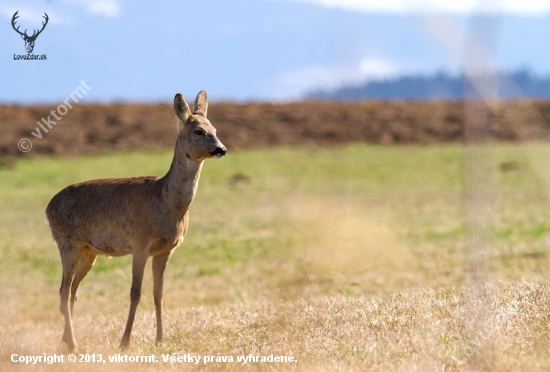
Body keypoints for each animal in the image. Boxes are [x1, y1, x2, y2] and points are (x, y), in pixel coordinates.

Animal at [46, 91, 227, 352]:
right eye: (198, 131)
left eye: (214, 128)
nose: (221, 149)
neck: (165, 203)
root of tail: (48, 207)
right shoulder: (140, 244)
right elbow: (135, 292)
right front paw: (125, 342)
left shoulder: (165, 249)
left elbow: (158, 293)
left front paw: (160, 339)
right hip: (67, 242)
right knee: (62, 290)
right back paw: (73, 344)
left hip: (89, 251)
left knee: (71, 292)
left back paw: (67, 339)